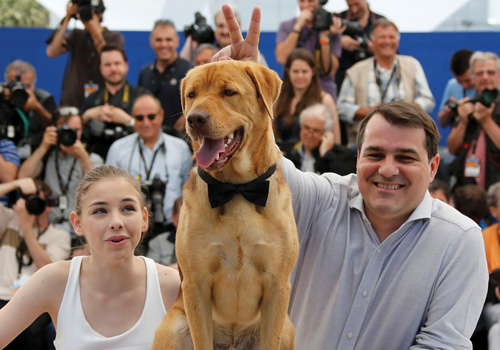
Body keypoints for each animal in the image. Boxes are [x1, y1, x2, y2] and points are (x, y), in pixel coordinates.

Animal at [152, 60, 298, 350]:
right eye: (192, 95)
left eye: (229, 92)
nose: (194, 118)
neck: (237, 190)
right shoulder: (195, 285)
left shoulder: (278, 285)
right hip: (172, 328)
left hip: (287, 328)